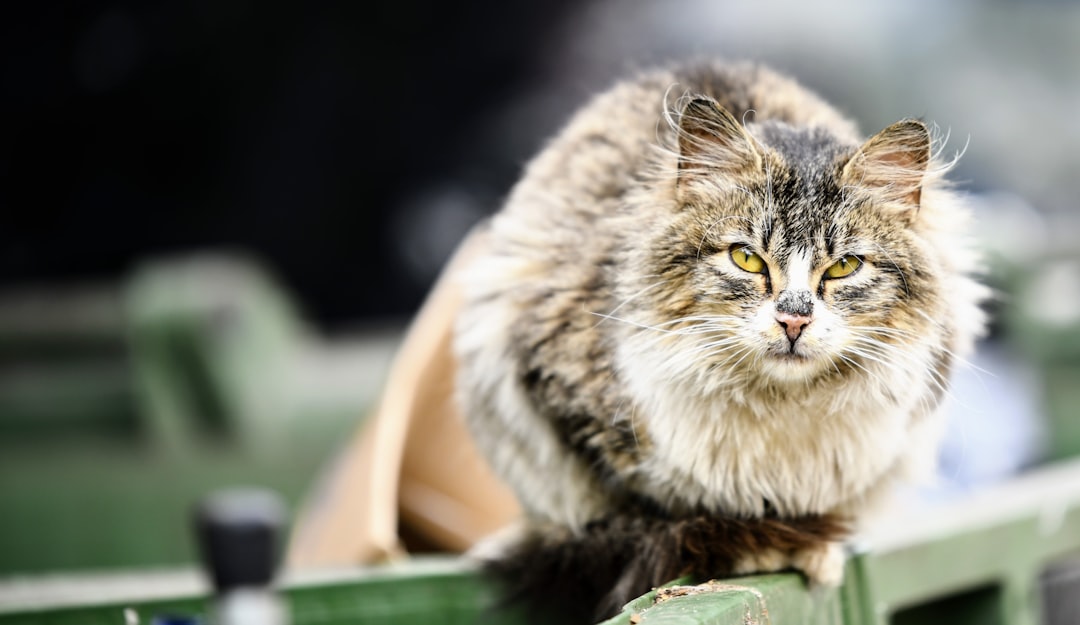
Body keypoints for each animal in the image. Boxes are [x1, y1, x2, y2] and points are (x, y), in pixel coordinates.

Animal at [451, 59, 984, 625]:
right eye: (746, 258)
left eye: (844, 267)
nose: (793, 321)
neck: (780, 412)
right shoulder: (567, 395)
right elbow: (671, 514)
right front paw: (762, 546)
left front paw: (815, 547)